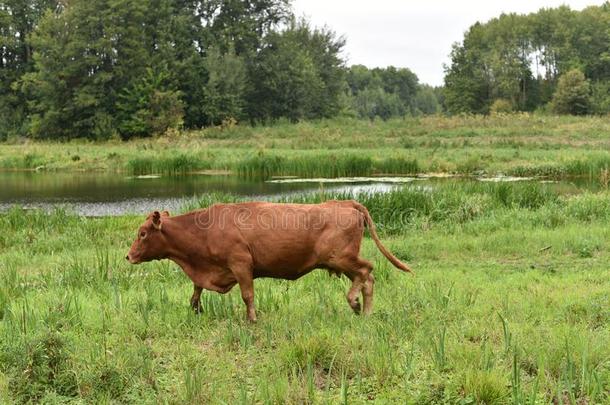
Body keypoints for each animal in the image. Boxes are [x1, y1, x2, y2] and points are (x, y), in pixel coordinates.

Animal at [125, 200, 410, 320]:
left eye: (142, 233)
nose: (128, 255)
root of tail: (345, 202)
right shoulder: (207, 271)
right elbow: (195, 292)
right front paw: (196, 310)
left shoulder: (241, 264)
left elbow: (247, 295)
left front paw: (252, 320)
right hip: (340, 261)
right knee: (367, 278)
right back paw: (365, 312)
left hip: (341, 258)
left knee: (367, 270)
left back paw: (355, 303)